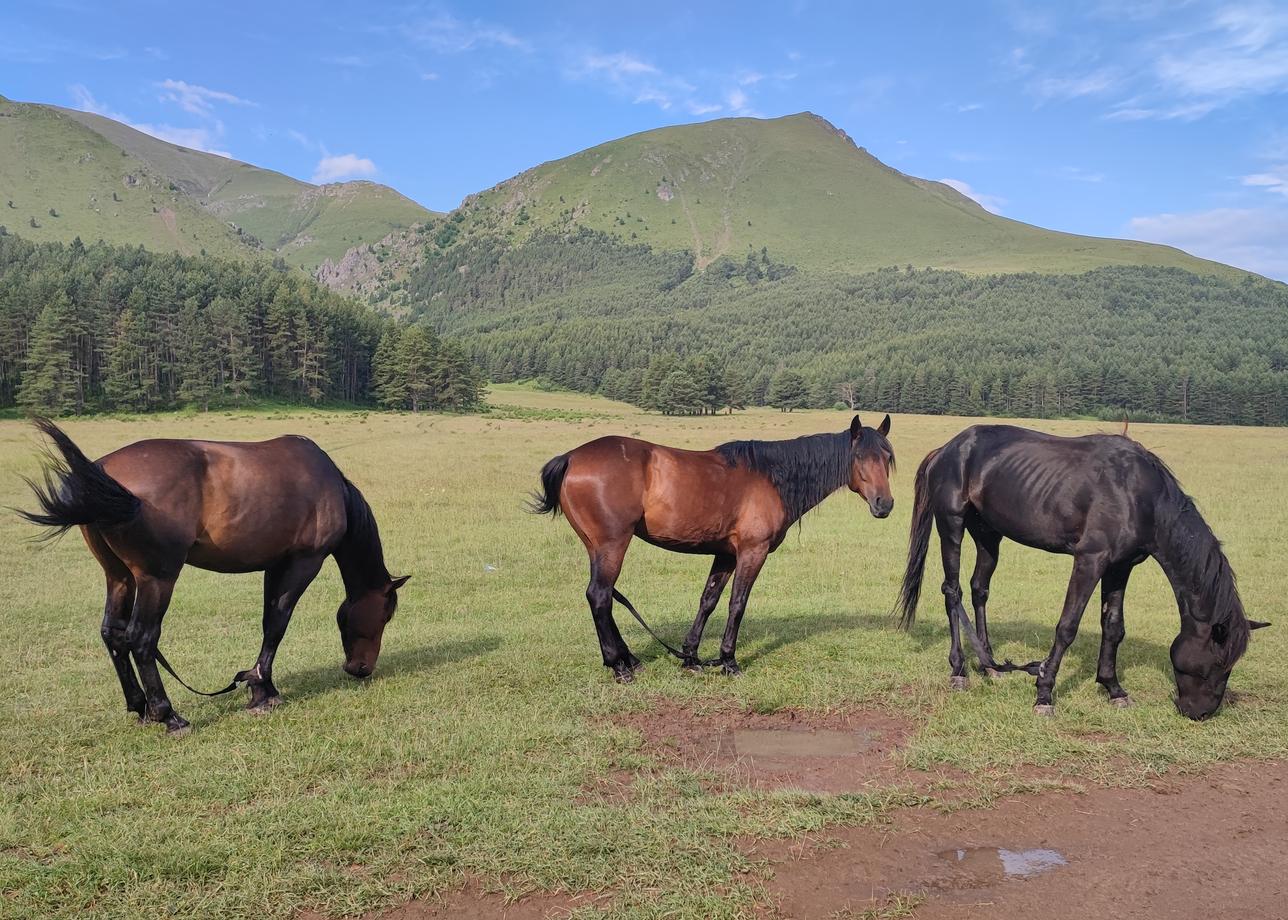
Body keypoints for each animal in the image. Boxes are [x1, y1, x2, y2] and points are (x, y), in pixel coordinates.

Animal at [22, 420, 409, 731]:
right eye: (385, 616)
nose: (361, 668)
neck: (331, 487)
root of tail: (103, 471)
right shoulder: (303, 562)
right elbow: (277, 625)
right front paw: (263, 692)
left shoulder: (275, 564)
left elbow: (269, 621)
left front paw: (258, 686)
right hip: (156, 579)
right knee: (141, 639)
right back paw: (168, 716)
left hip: (119, 577)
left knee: (112, 634)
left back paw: (140, 707)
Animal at [528, 414, 891, 680]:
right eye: (860, 457)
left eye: (887, 457)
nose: (884, 504)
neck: (770, 477)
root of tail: (571, 458)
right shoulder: (752, 552)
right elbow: (737, 604)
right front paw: (728, 661)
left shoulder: (725, 554)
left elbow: (708, 601)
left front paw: (690, 657)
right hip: (613, 545)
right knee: (600, 596)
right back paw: (619, 666)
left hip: (596, 547)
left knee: (602, 596)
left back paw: (628, 659)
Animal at [896, 422, 1267, 716]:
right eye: (1218, 664)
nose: (1199, 713)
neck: (1137, 495)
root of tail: (947, 449)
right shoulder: (1090, 560)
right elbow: (1067, 626)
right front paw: (1044, 693)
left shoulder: (1120, 567)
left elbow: (1114, 627)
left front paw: (1113, 689)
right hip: (952, 525)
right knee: (953, 591)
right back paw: (960, 670)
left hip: (989, 534)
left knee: (978, 589)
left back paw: (989, 665)